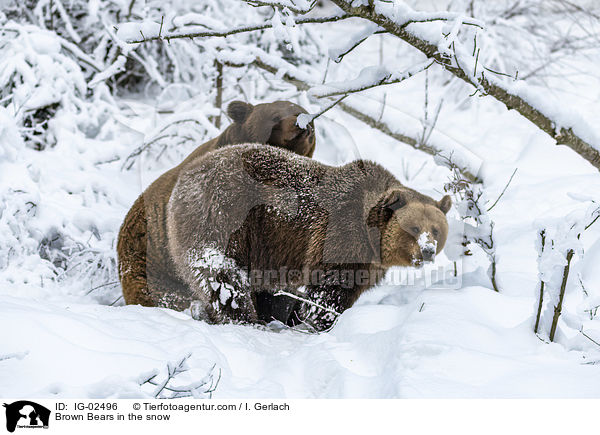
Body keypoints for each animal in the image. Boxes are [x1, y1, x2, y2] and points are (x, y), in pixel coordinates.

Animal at [164, 143, 450, 330]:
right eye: (414, 228)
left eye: (436, 229)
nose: (427, 250)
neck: (371, 239)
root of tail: (187, 174)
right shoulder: (340, 235)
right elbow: (330, 288)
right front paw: (321, 319)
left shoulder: (368, 263)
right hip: (224, 215)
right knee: (221, 274)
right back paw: (244, 317)